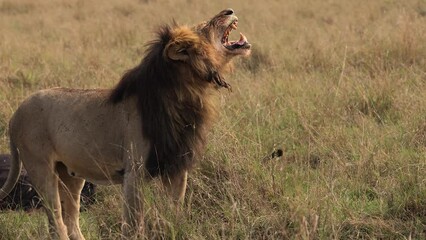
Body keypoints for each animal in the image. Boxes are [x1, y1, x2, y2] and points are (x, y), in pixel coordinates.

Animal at [0, 7, 250, 240]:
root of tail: (15, 114)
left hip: (71, 175)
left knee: (71, 219)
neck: (188, 95)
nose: (228, 10)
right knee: (56, 222)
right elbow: (134, 224)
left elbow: (173, 214)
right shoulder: (134, 173)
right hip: (41, 170)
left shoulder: (176, 169)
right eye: (206, 26)